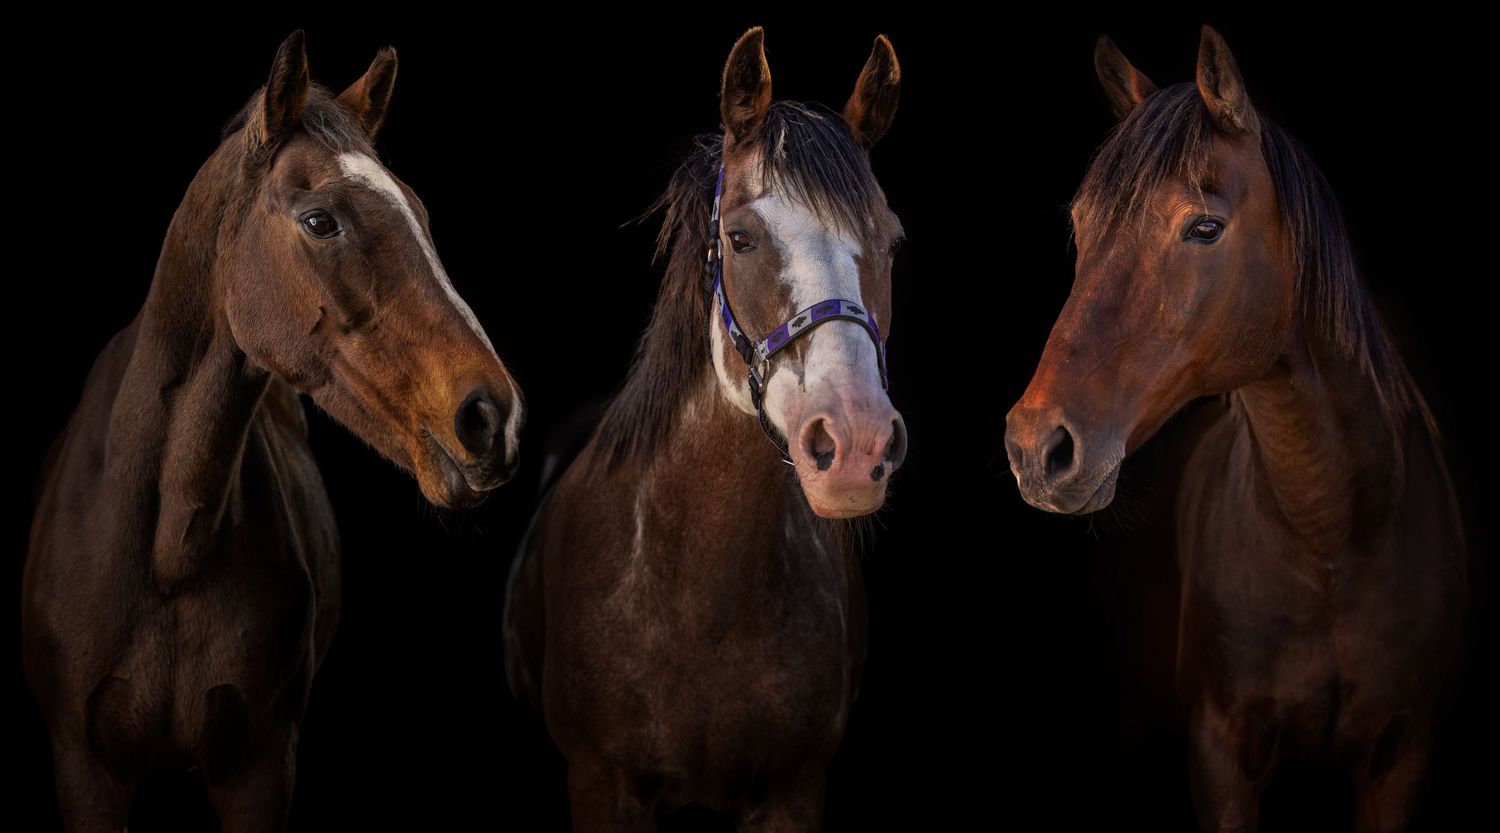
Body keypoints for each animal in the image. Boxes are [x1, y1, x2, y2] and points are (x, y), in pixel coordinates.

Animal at [23, 31, 523, 831]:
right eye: (321, 220)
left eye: (418, 211)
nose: (491, 416)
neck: (169, 555)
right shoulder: (85, 769)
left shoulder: (260, 767)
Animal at [504, 27, 905, 830]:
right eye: (741, 238)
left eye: (893, 242)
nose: (855, 447)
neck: (700, 596)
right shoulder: (600, 784)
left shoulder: (792, 788)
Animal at [1005, 27, 1465, 833]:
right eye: (1081, 226)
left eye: (1204, 227)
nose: (1036, 447)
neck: (1334, 537)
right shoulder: (1220, 752)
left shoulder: (1403, 756)